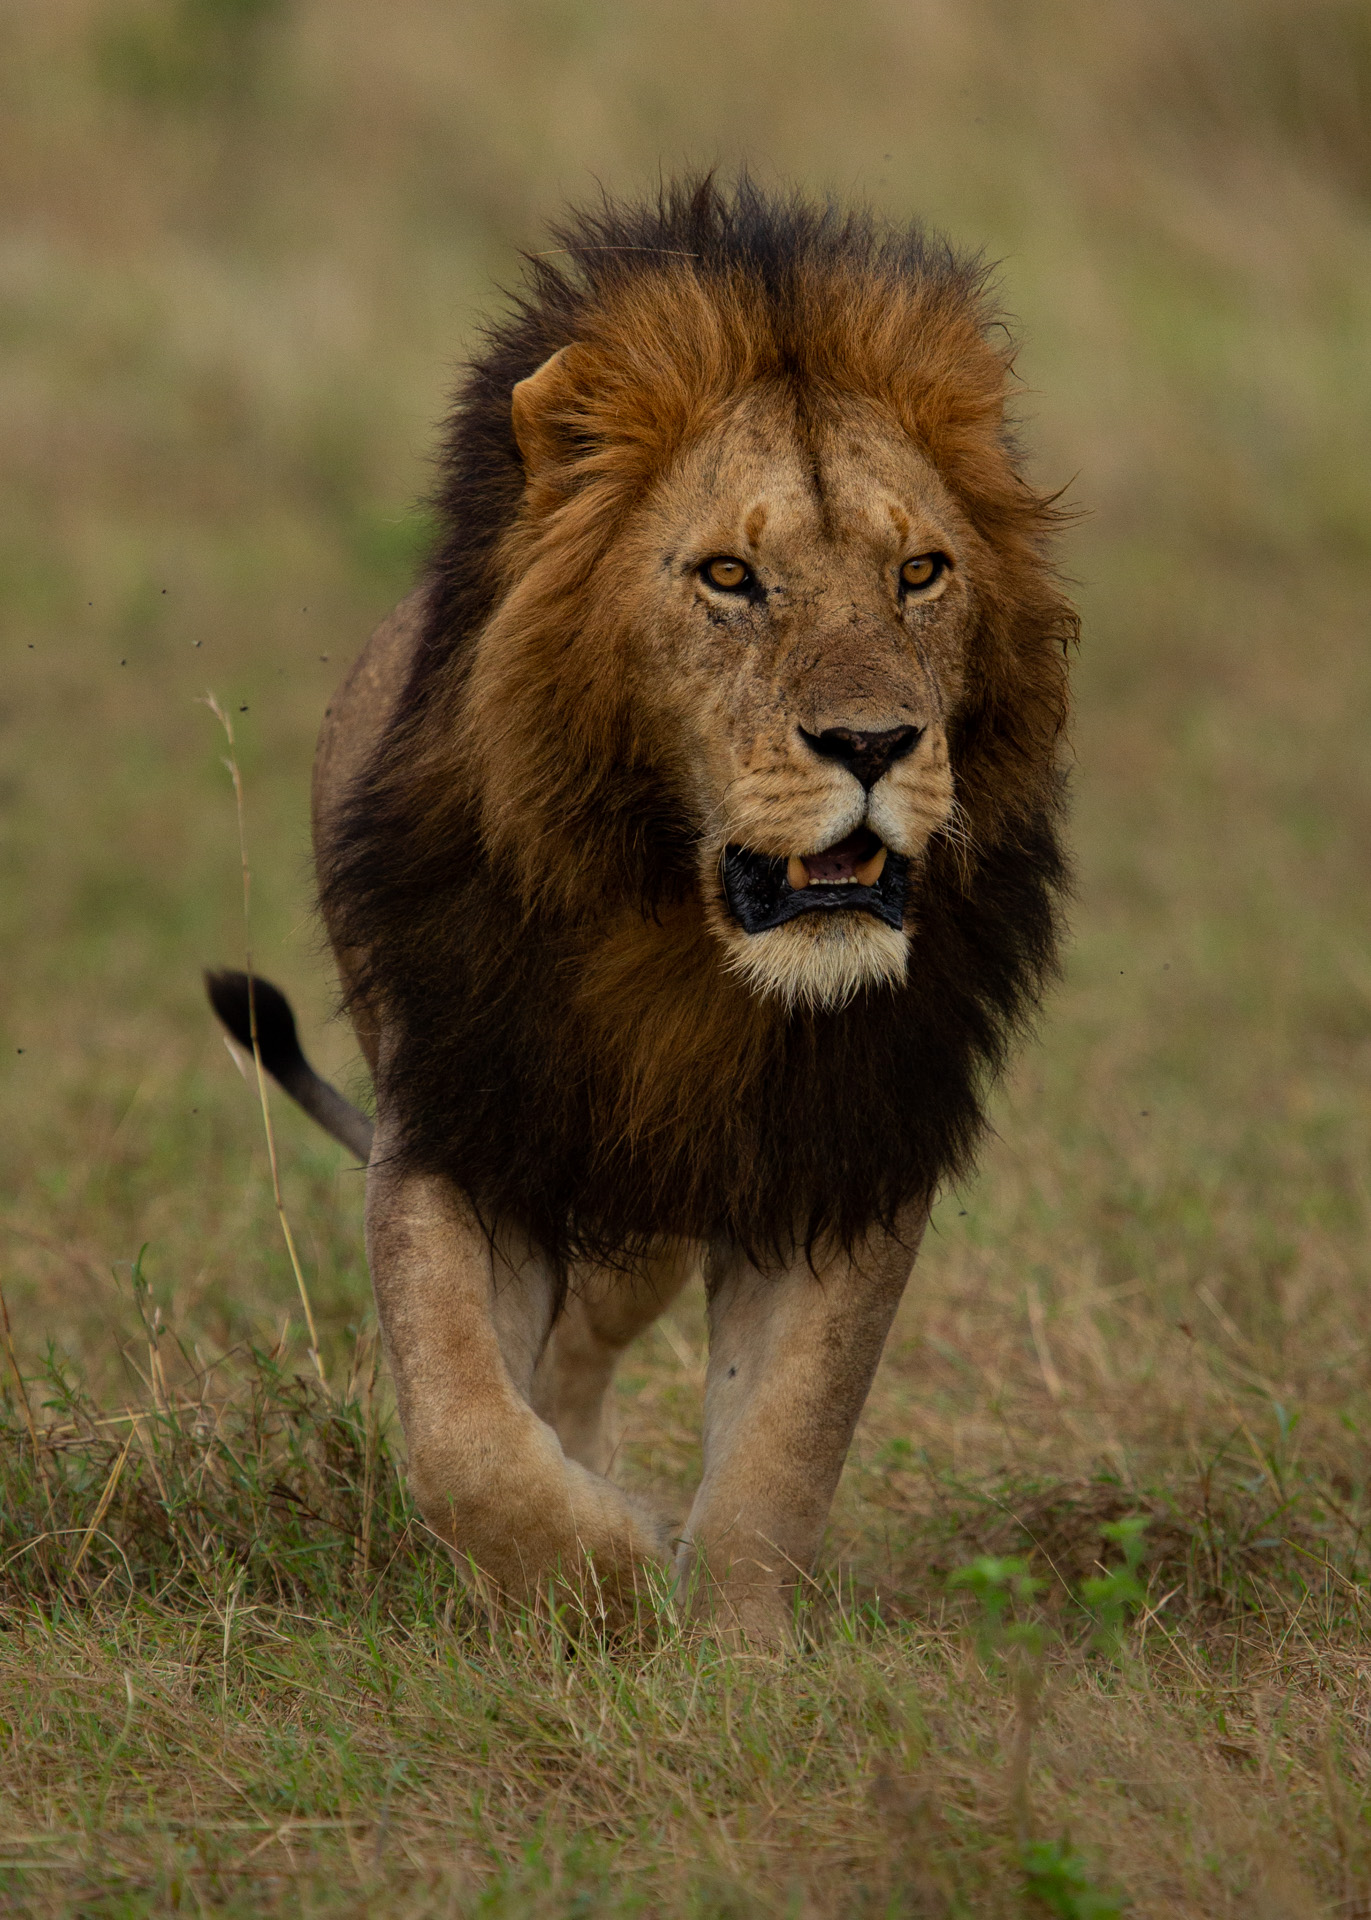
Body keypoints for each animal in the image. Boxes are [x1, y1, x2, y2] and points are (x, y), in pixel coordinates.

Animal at [208, 180, 1075, 1643]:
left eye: (919, 573)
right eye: (728, 577)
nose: (872, 743)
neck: (687, 939)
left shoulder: (851, 1149)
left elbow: (784, 1443)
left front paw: (732, 1647)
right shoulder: (460, 1120)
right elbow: (464, 1430)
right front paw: (598, 1582)